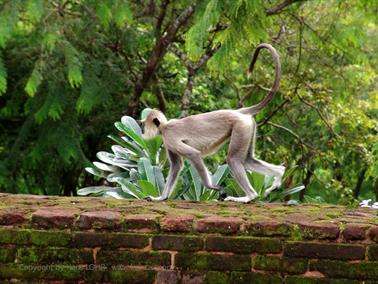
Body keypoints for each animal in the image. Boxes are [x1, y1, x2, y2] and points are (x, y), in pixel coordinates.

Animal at [141, 42, 284, 202]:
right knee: (247, 160)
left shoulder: (169, 137)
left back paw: (249, 196)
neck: (165, 126)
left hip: (240, 127)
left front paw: (211, 187)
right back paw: (278, 173)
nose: (143, 131)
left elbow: (194, 154)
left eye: (144, 125)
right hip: (247, 128)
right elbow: (177, 165)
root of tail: (239, 112)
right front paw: (161, 198)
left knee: (233, 159)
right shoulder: (168, 141)